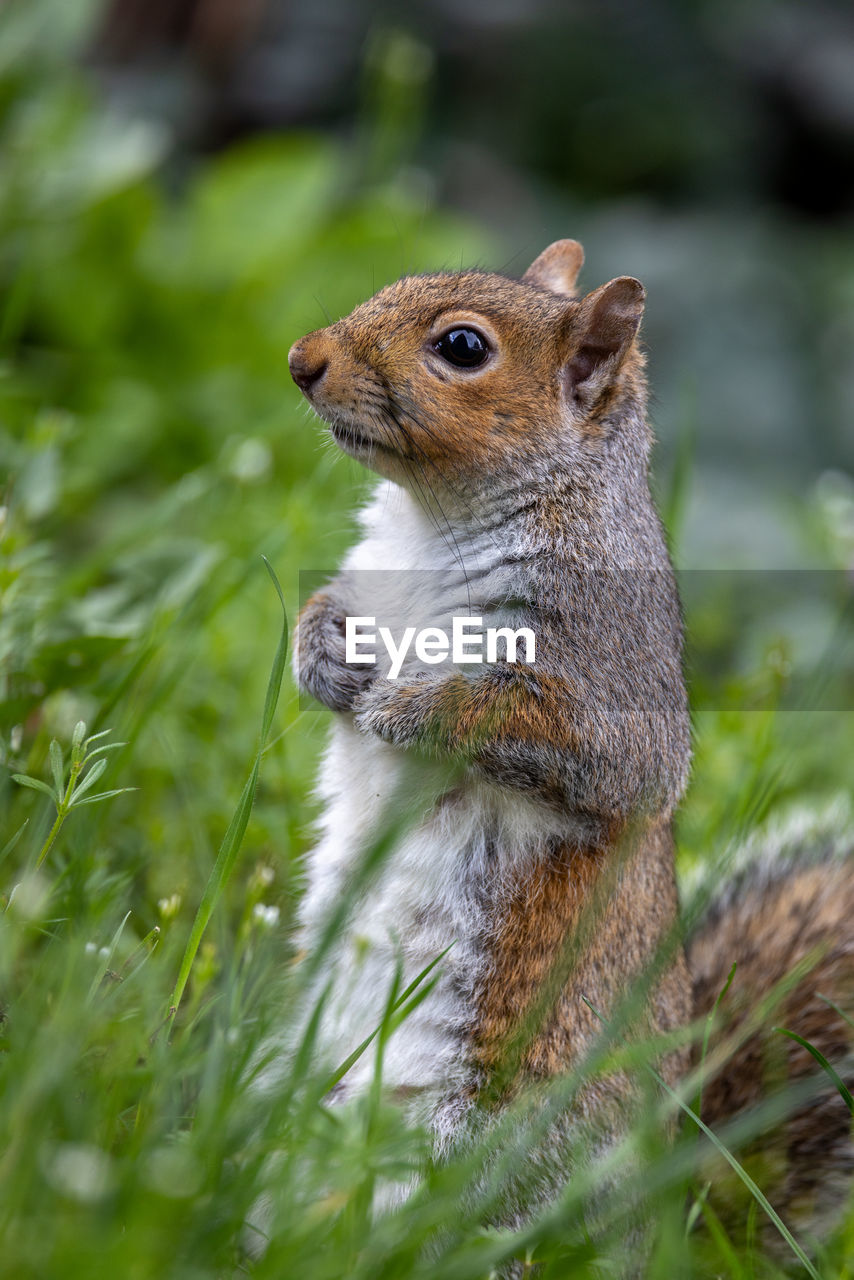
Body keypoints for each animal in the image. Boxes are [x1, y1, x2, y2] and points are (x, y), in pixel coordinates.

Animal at [287, 240, 854, 1252]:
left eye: (463, 347)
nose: (301, 359)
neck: (432, 522)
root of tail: (660, 1222)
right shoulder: (366, 579)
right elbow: (323, 608)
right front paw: (325, 662)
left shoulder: (607, 673)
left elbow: (586, 751)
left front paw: (404, 707)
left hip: (487, 1141)